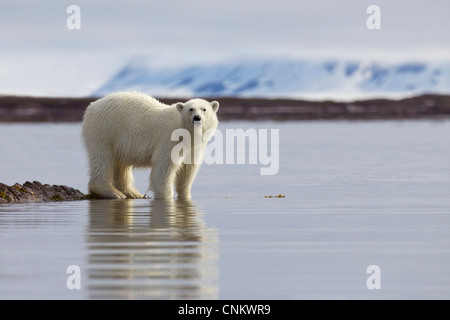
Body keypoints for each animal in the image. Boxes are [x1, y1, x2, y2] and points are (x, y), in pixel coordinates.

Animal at [83, 91, 221, 199]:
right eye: (190, 109)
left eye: (204, 109)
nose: (197, 118)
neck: (186, 132)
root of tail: (91, 106)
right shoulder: (169, 140)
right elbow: (164, 168)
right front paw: (166, 196)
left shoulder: (194, 147)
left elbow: (188, 170)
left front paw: (186, 195)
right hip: (104, 131)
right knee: (102, 158)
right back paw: (112, 192)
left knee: (121, 164)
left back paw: (132, 192)